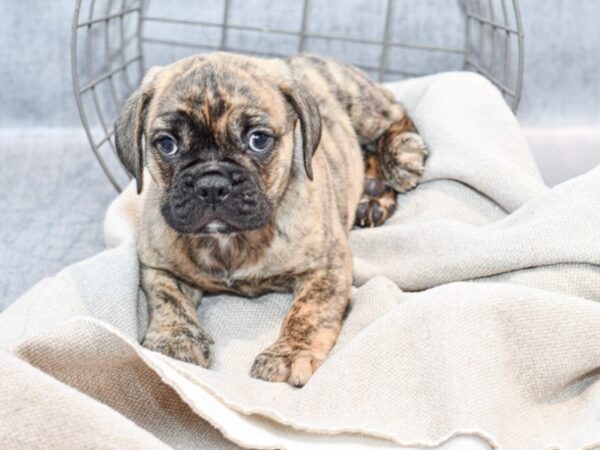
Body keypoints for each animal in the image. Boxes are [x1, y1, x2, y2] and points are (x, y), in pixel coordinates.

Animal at [115, 51, 426, 384]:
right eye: (167, 144)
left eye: (258, 140)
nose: (211, 185)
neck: (230, 241)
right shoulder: (156, 265)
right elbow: (167, 299)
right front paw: (175, 339)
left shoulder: (328, 266)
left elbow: (308, 311)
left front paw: (288, 354)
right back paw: (373, 194)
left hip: (361, 106)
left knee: (394, 115)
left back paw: (401, 157)